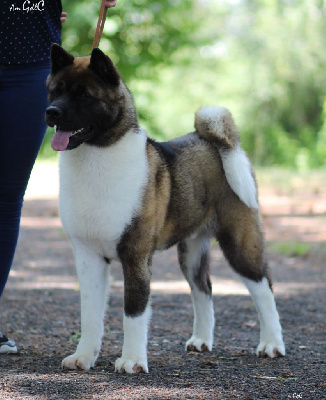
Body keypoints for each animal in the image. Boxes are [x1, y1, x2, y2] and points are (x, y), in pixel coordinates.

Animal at [45, 44, 286, 376]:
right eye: (54, 92)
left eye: (83, 96)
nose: (51, 112)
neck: (96, 155)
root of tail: (217, 144)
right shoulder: (88, 257)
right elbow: (90, 314)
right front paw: (83, 357)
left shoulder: (135, 256)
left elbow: (133, 311)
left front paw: (132, 360)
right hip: (192, 251)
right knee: (203, 288)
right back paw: (201, 340)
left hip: (240, 241)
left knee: (263, 289)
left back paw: (272, 344)